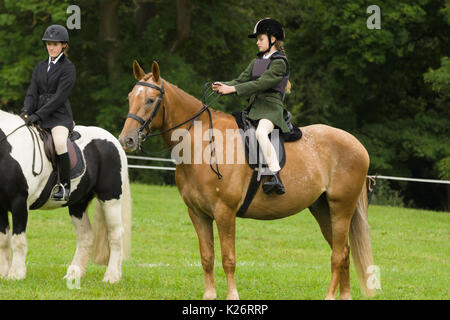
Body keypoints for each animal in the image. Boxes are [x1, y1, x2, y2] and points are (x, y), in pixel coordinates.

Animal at [0, 110, 132, 282]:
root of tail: (114, 141)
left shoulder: (19, 202)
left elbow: (18, 240)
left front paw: (16, 274)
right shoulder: (0, 207)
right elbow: (3, 240)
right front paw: (3, 273)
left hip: (111, 199)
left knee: (115, 234)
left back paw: (112, 277)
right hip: (78, 204)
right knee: (85, 236)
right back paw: (74, 274)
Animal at [119, 60, 376, 300]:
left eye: (151, 100)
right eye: (130, 97)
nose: (127, 140)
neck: (203, 142)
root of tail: (358, 145)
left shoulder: (225, 212)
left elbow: (228, 258)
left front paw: (232, 295)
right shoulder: (198, 214)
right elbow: (207, 257)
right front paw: (209, 295)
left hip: (341, 208)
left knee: (338, 254)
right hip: (322, 209)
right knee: (343, 251)